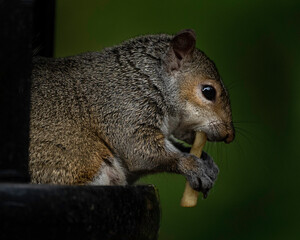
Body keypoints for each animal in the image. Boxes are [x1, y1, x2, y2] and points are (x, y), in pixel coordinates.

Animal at [29, 29, 234, 196]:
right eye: (208, 91)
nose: (229, 135)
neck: (145, 78)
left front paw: (208, 163)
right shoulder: (123, 109)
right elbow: (138, 150)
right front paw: (191, 166)